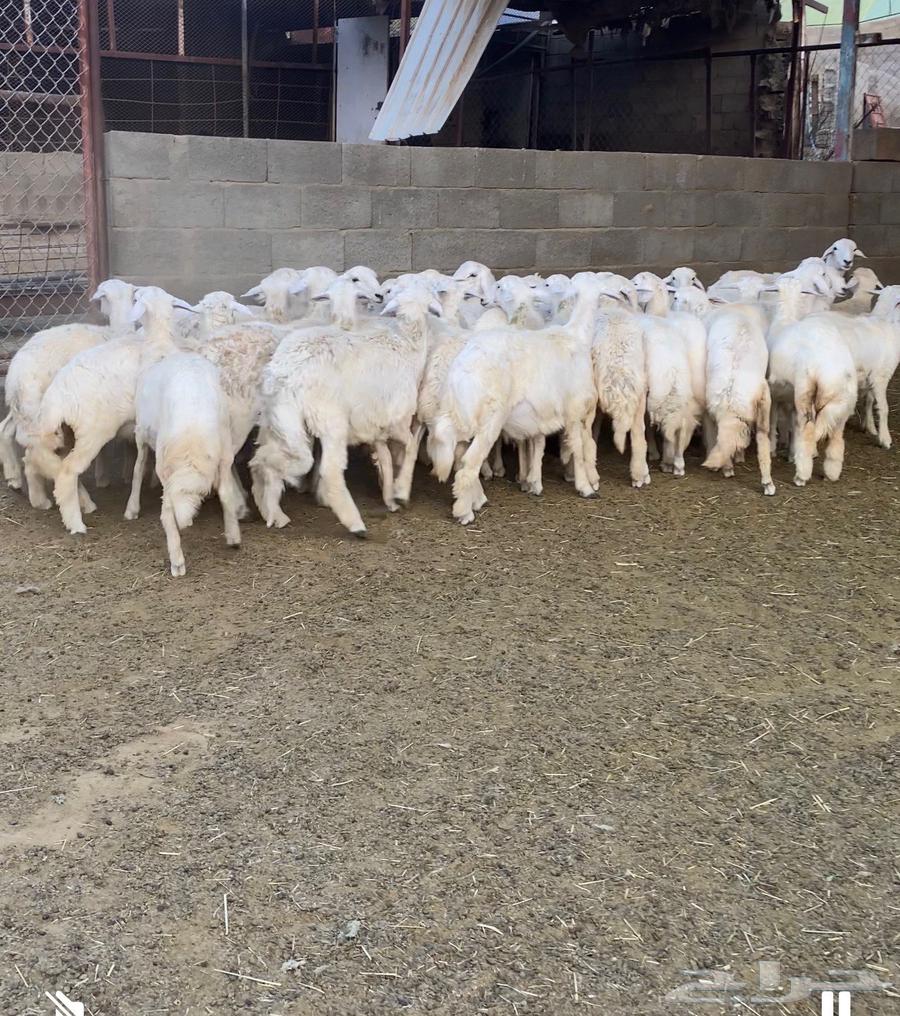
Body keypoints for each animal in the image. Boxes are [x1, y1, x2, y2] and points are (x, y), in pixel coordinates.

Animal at [0, 278, 136, 502]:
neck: (118, 330)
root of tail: (15, 375)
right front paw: (103, 477)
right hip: (39, 411)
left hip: (23, 409)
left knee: (5, 429)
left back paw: (14, 478)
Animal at [26, 286, 189, 534]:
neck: (160, 341)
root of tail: (59, 396)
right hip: (92, 433)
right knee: (67, 471)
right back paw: (76, 523)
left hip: (62, 434)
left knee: (34, 456)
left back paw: (43, 499)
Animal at [124, 352, 243, 576]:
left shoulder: (224, 456)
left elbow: (225, 495)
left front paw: (233, 535)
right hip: (142, 432)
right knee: (138, 467)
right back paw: (132, 508)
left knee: (139, 468)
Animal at [251, 278, 433, 536]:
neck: (408, 344)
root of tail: (285, 371)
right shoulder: (397, 419)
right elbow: (411, 447)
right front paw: (401, 492)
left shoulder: (375, 427)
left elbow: (386, 459)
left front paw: (390, 497)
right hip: (329, 420)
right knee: (327, 470)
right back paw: (354, 524)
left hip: (281, 419)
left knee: (270, 457)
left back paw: (272, 508)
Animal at [765, 276, 858, 486]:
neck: (785, 318)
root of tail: (832, 372)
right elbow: (791, 423)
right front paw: (790, 451)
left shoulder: (774, 390)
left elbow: (774, 419)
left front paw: (775, 448)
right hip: (844, 402)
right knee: (837, 438)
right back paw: (831, 473)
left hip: (805, 389)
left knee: (807, 431)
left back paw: (801, 475)